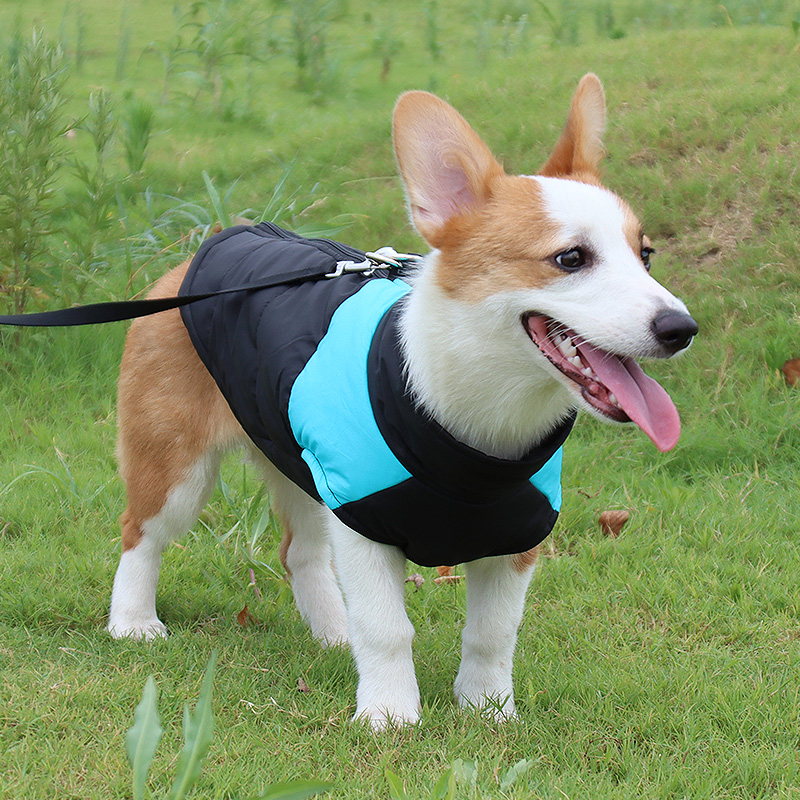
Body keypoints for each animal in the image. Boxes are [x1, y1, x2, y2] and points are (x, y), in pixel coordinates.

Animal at [109, 76, 696, 732]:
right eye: (571, 258)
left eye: (645, 255)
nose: (681, 328)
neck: (473, 440)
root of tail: (200, 253)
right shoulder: (364, 523)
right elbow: (387, 627)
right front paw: (389, 715)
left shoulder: (515, 540)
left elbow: (493, 634)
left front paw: (488, 709)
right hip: (176, 465)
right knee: (141, 532)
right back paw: (132, 623)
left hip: (301, 466)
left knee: (300, 552)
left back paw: (332, 635)